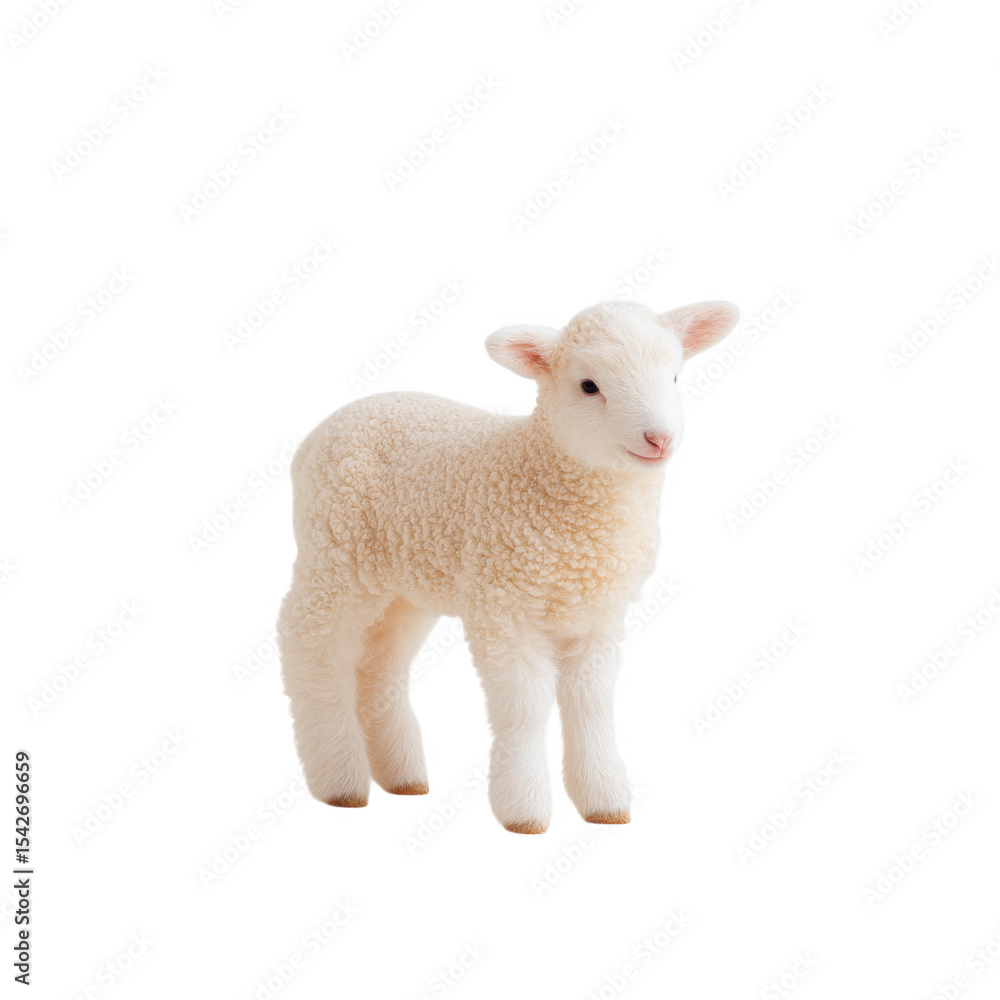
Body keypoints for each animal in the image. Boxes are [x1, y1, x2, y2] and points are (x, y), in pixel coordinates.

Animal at [278, 298, 739, 834]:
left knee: (379, 664)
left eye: (676, 376)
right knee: (310, 648)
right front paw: (525, 810)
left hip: (405, 585)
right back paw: (339, 779)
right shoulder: (503, 608)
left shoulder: (599, 616)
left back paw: (401, 775)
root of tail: (314, 437)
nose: (659, 438)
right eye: (588, 385)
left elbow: (592, 703)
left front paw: (604, 803)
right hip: (333, 555)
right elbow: (525, 707)